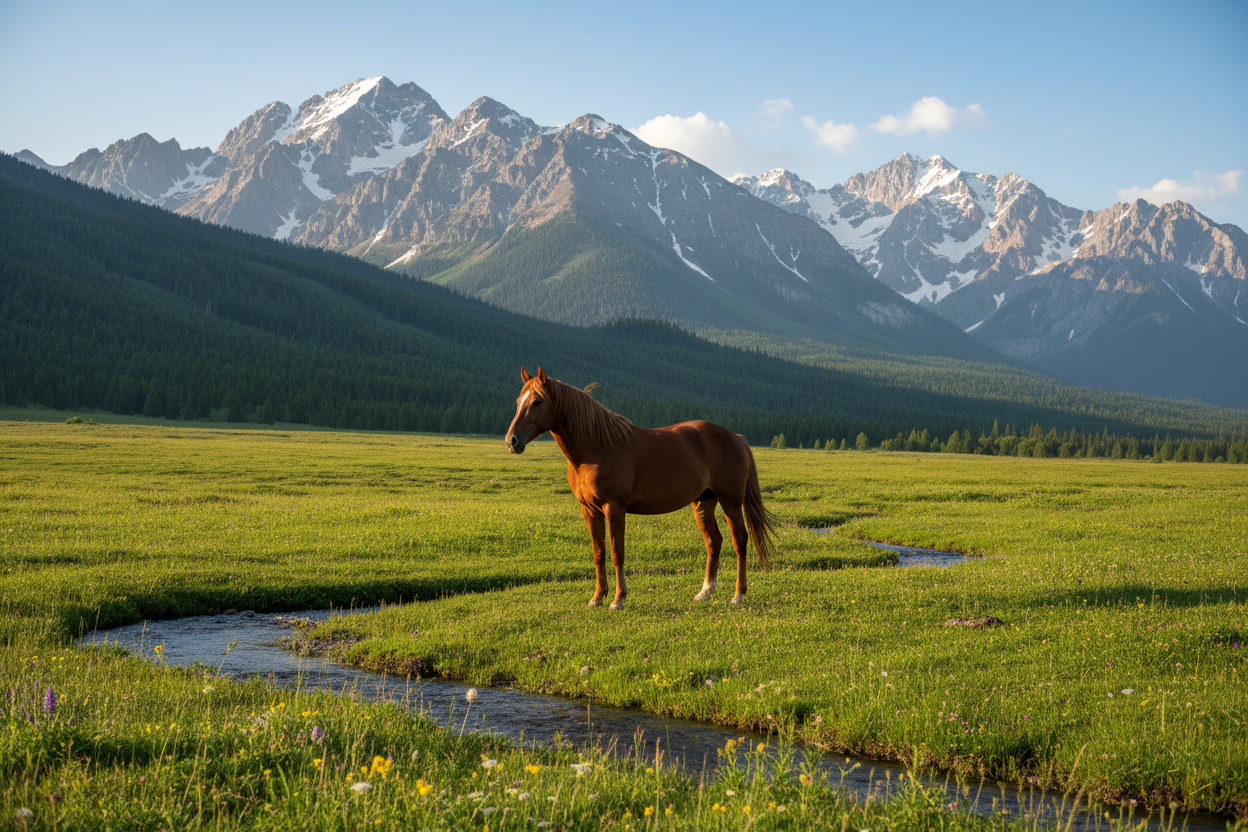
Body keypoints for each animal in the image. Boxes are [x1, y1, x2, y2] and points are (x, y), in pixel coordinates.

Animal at [504, 366, 777, 610]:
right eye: (518, 400)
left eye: (537, 401)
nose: (511, 441)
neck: (597, 448)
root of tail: (736, 438)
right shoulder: (589, 510)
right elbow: (598, 553)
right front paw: (597, 598)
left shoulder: (614, 508)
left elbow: (617, 553)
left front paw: (618, 599)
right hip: (704, 502)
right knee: (714, 541)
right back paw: (705, 592)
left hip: (731, 502)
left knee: (739, 541)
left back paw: (738, 595)